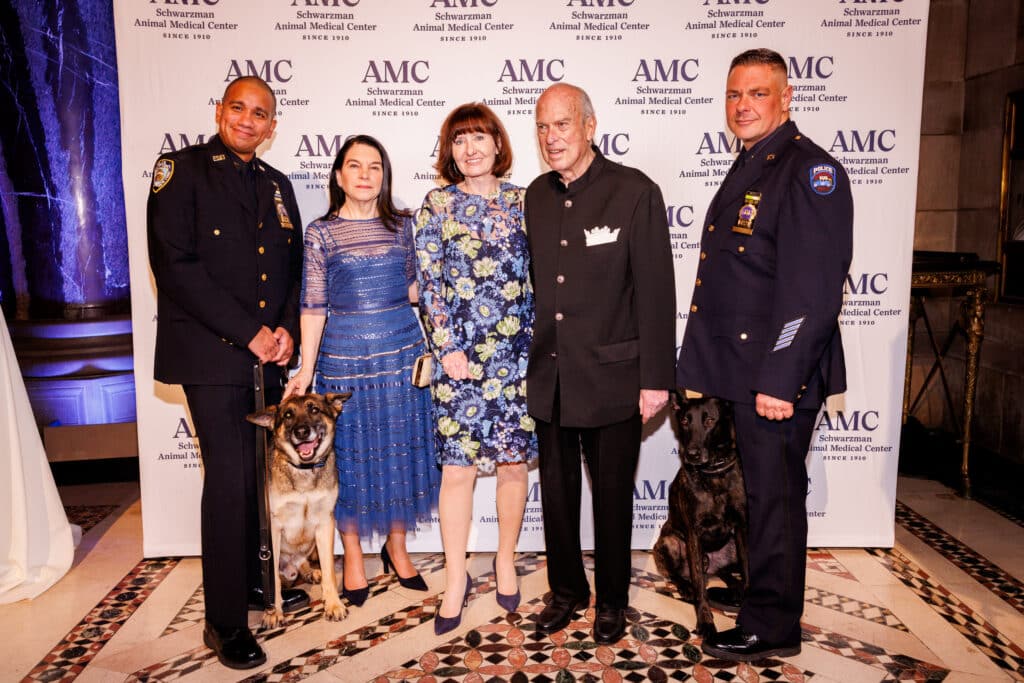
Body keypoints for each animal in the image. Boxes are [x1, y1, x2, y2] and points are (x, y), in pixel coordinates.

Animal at [246, 389, 352, 630]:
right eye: (287, 415)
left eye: (314, 409)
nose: (302, 432)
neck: (304, 470)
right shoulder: (273, 529)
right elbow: (273, 579)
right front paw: (273, 611)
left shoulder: (325, 523)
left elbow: (330, 570)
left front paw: (333, 604)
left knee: (305, 560)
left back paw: (310, 571)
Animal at [651, 393, 749, 638]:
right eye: (685, 421)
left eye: (710, 420)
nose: (692, 454)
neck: (714, 474)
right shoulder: (693, 535)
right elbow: (699, 587)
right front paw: (705, 621)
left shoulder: (742, 529)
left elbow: (748, 569)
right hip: (669, 542)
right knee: (677, 574)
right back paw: (685, 586)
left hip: (731, 547)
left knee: (726, 572)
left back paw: (733, 587)